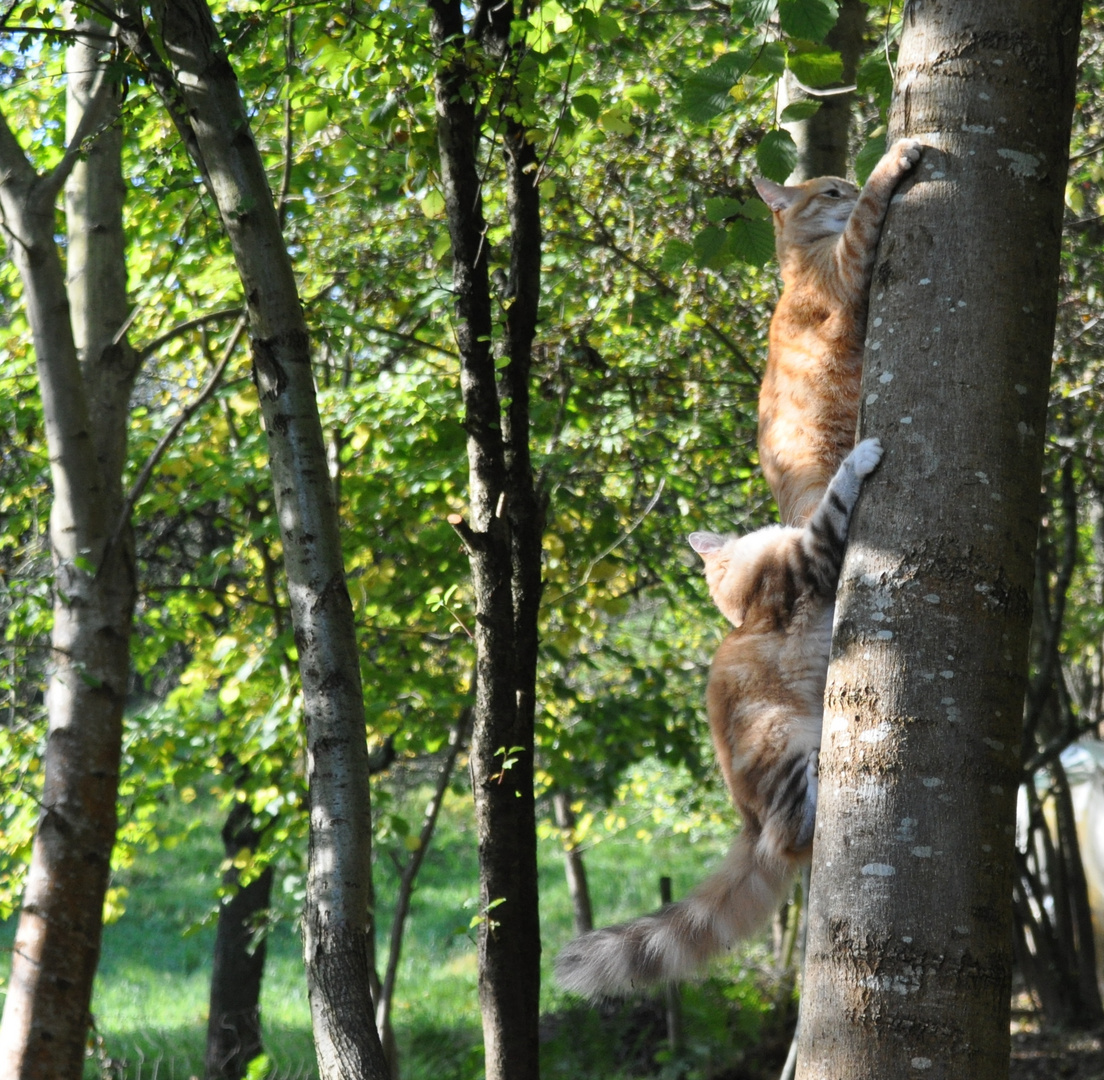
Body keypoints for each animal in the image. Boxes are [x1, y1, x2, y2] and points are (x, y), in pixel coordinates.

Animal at [556, 437, 883, 993]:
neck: (743, 607)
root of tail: (748, 825)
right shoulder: (808, 562)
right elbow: (834, 504)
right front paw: (860, 456)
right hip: (783, 742)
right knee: (789, 834)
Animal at [755, 139, 918, 525]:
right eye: (832, 192)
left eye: (847, 187)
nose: (851, 189)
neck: (797, 262)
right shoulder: (849, 260)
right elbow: (867, 206)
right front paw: (893, 156)